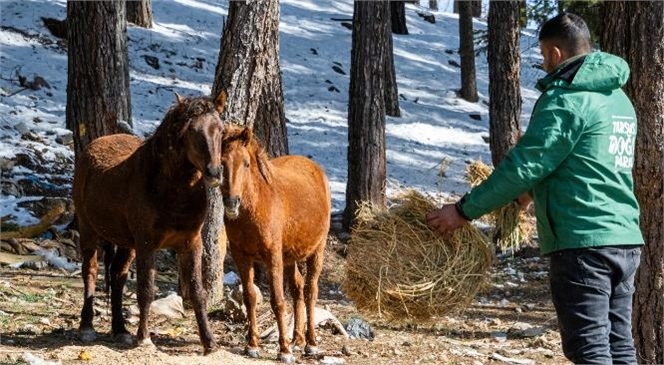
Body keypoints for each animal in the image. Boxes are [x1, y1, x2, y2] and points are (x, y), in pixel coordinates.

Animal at [73, 93, 226, 352]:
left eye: (221, 130)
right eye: (191, 130)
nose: (214, 173)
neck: (170, 190)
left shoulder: (191, 243)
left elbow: (197, 291)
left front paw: (209, 342)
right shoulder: (146, 243)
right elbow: (146, 289)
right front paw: (144, 338)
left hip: (127, 244)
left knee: (118, 276)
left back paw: (120, 330)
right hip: (88, 230)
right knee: (90, 272)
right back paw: (87, 327)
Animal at [220, 124, 332, 362]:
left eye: (246, 163)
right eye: (222, 162)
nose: (232, 202)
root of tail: (315, 168)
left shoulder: (273, 258)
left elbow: (278, 301)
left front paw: (284, 350)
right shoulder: (242, 257)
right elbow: (250, 297)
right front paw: (252, 345)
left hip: (317, 251)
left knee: (310, 291)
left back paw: (310, 343)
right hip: (290, 257)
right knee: (298, 287)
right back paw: (297, 338)